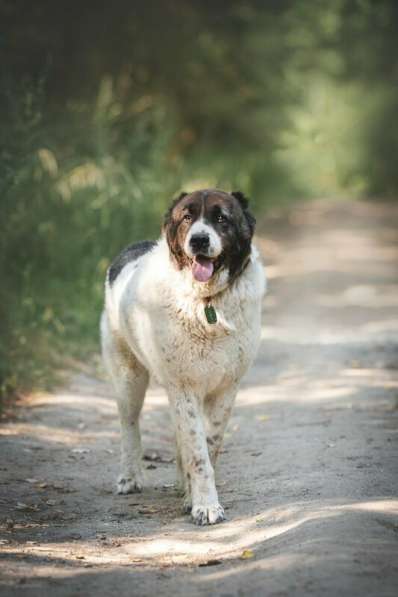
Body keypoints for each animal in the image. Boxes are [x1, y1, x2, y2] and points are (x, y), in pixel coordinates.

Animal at [101, 189, 266, 524]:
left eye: (221, 218)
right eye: (187, 217)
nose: (199, 240)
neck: (206, 303)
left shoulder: (225, 388)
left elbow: (209, 445)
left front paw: (195, 498)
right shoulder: (183, 387)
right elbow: (198, 453)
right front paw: (205, 506)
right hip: (128, 377)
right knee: (129, 425)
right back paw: (129, 477)